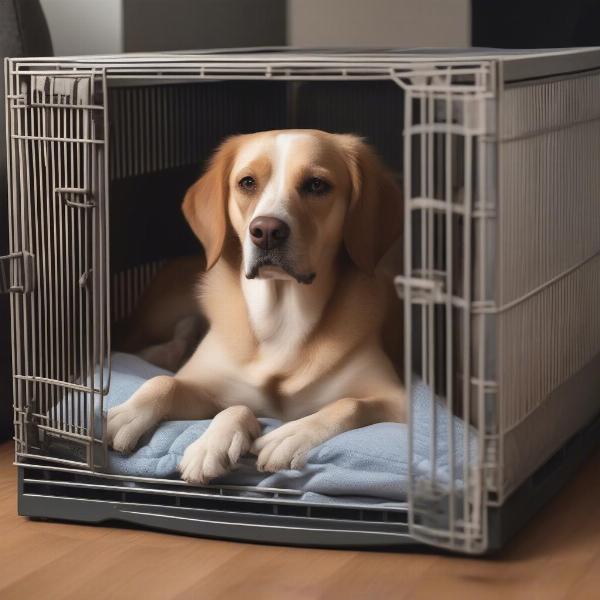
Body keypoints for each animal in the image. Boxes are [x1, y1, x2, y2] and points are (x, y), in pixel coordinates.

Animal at [108, 130, 408, 482]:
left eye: (317, 185)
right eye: (247, 182)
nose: (266, 231)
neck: (281, 318)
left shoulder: (400, 402)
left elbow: (349, 404)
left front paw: (289, 436)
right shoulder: (210, 385)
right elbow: (166, 383)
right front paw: (129, 415)